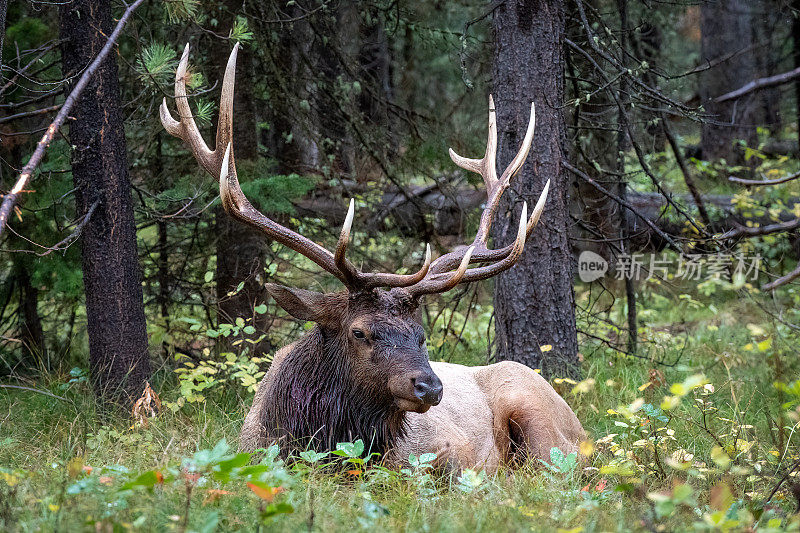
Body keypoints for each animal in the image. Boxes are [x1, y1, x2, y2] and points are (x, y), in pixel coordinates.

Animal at [162, 43, 584, 472]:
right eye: (359, 332)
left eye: (420, 334)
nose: (429, 386)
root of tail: (580, 426)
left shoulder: (447, 452)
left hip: (538, 414)